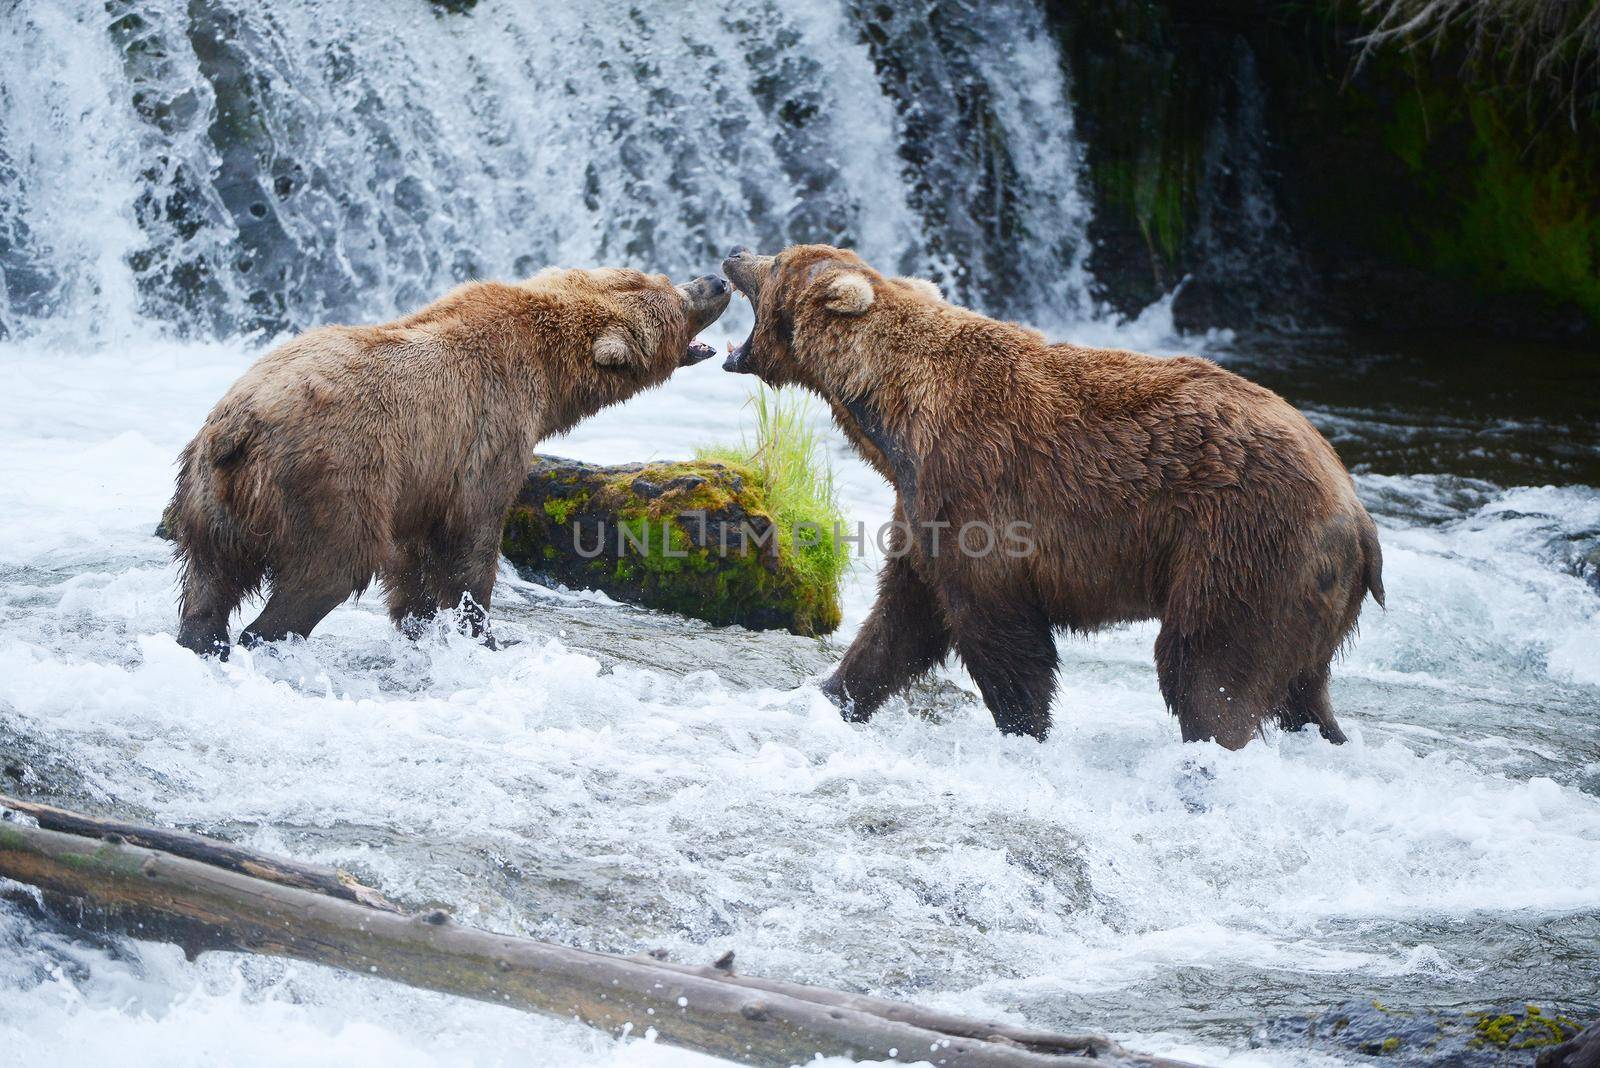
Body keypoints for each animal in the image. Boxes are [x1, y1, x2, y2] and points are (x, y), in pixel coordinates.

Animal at [170, 265, 732, 658]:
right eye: (675, 301)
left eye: (660, 277)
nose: (717, 281)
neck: (550, 381)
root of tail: (241, 424)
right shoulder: (487, 434)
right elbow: (471, 543)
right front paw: (483, 635)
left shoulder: (420, 477)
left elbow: (410, 560)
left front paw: (418, 628)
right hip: (328, 479)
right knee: (330, 567)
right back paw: (264, 638)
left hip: (208, 494)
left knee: (208, 580)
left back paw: (204, 641)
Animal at [720, 241, 1382, 748]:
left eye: (776, 260)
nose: (733, 253)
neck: (890, 416)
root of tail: (1356, 512)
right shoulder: (919, 507)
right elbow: (901, 623)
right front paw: (827, 695)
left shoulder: (974, 486)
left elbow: (998, 629)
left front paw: (1024, 728)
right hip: (1309, 595)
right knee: (1302, 690)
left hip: (1245, 545)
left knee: (1206, 667)